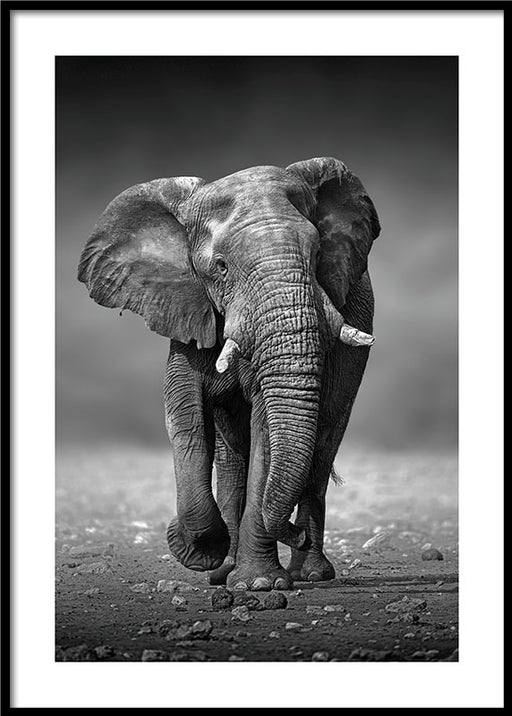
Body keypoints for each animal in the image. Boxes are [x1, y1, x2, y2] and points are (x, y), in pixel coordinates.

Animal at [78, 157, 380, 591]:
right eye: (220, 268)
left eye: (317, 253)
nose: (293, 533)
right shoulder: (187, 309)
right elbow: (184, 415)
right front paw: (201, 551)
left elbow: (266, 428)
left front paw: (260, 585)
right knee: (231, 458)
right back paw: (224, 571)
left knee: (322, 445)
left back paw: (309, 574)